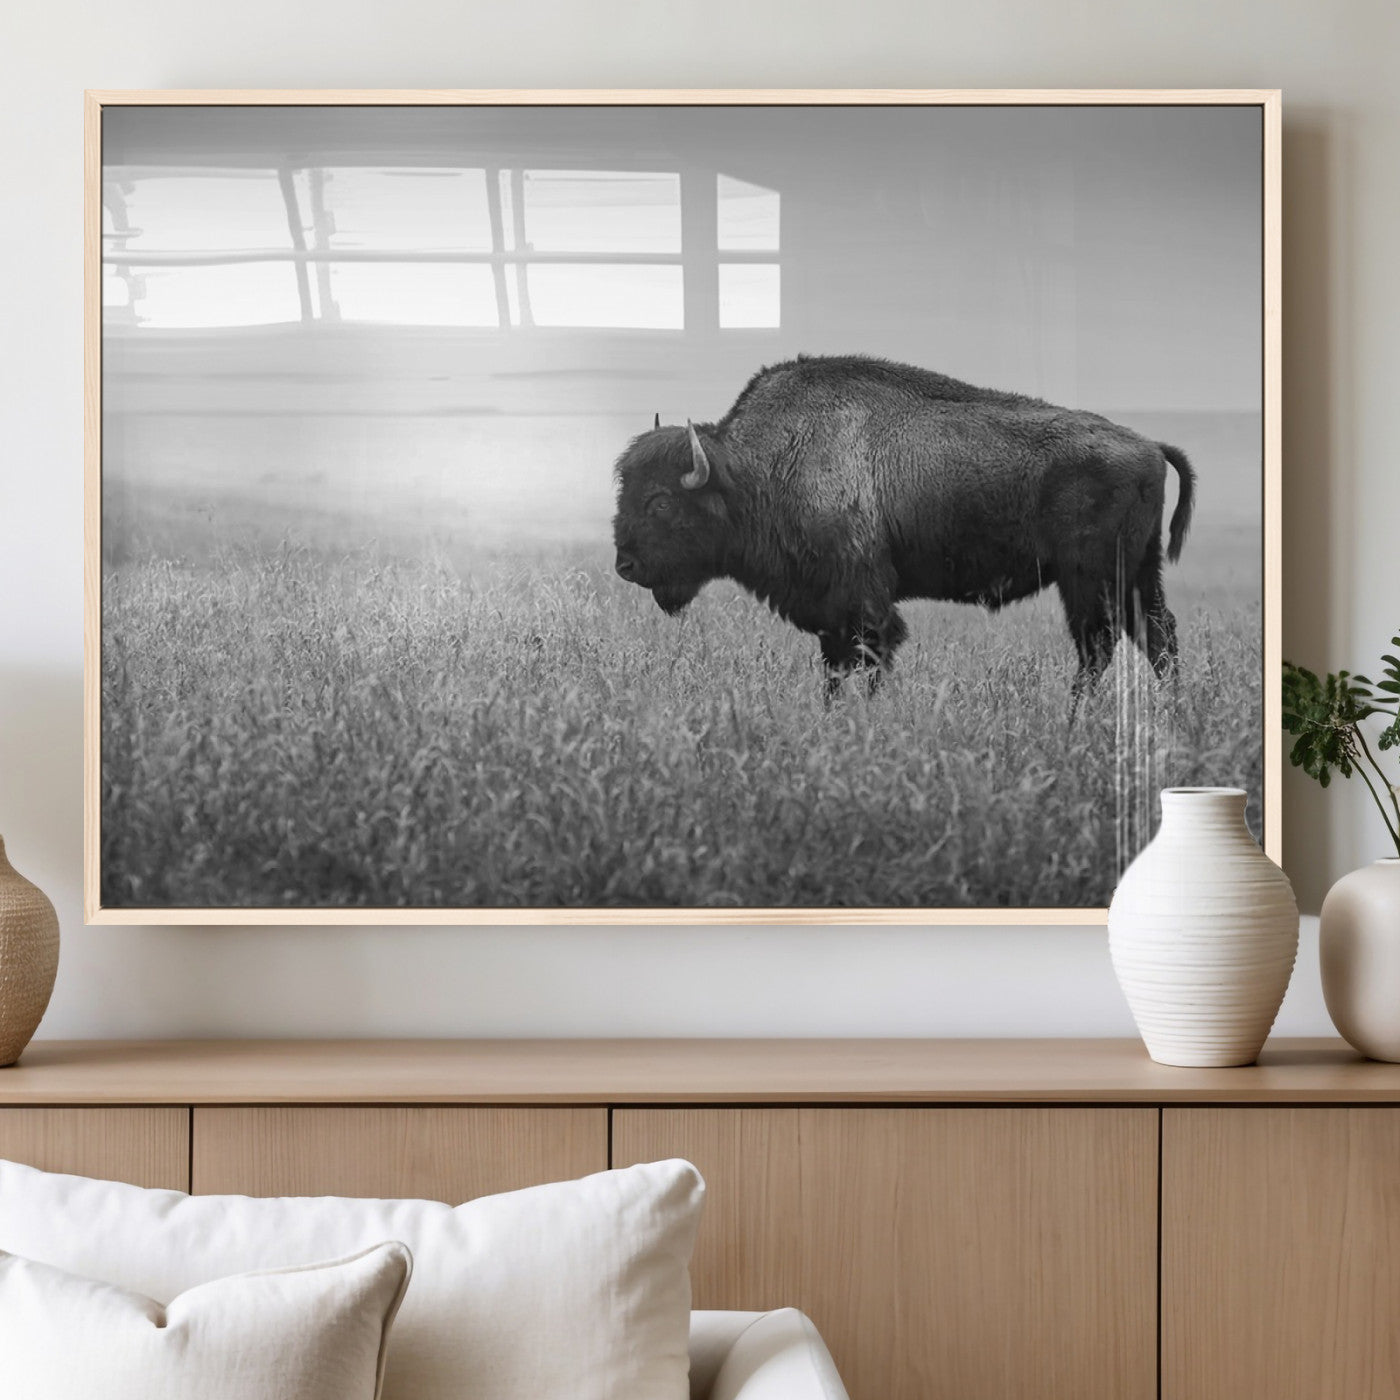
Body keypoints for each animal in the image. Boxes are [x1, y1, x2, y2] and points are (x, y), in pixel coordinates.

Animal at [612, 354, 1195, 696]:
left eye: (661, 502)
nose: (625, 565)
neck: (756, 470)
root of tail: (1148, 445)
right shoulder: (831, 614)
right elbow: (835, 669)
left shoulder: (864, 603)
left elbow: (869, 659)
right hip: (1138, 573)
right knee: (1157, 636)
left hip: (1089, 579)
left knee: (1099, 646)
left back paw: (1077, 720)